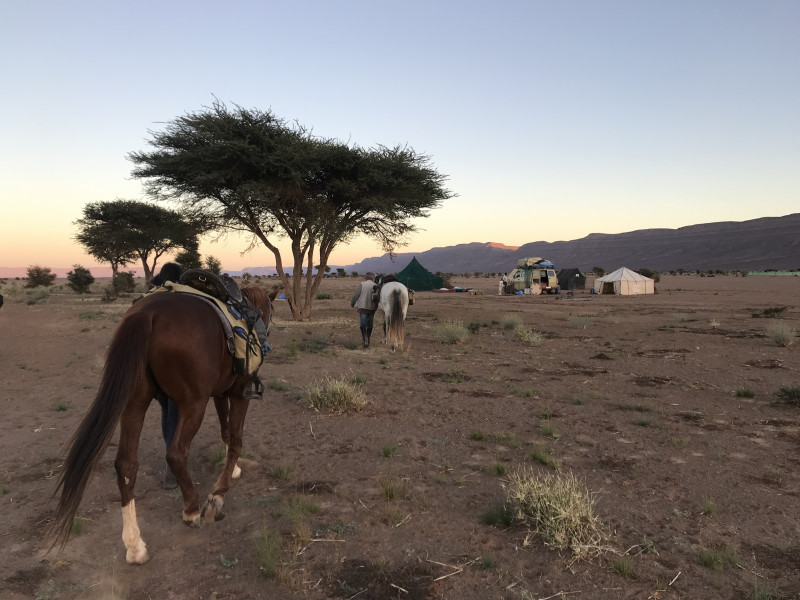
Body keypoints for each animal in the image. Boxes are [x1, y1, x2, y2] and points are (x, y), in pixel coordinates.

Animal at [52, 286, 278, 564]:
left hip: (135, 401)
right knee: (176, 453)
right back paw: (192, 509)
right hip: (193, 404)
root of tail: (148, 313)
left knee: (126, 463)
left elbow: (225, 431)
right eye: (271, 311)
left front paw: (232, 469)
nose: (266, 339)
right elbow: (235, 437)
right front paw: (218, 493)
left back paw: (135, 545)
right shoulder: (237, 393)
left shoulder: (219, 393)